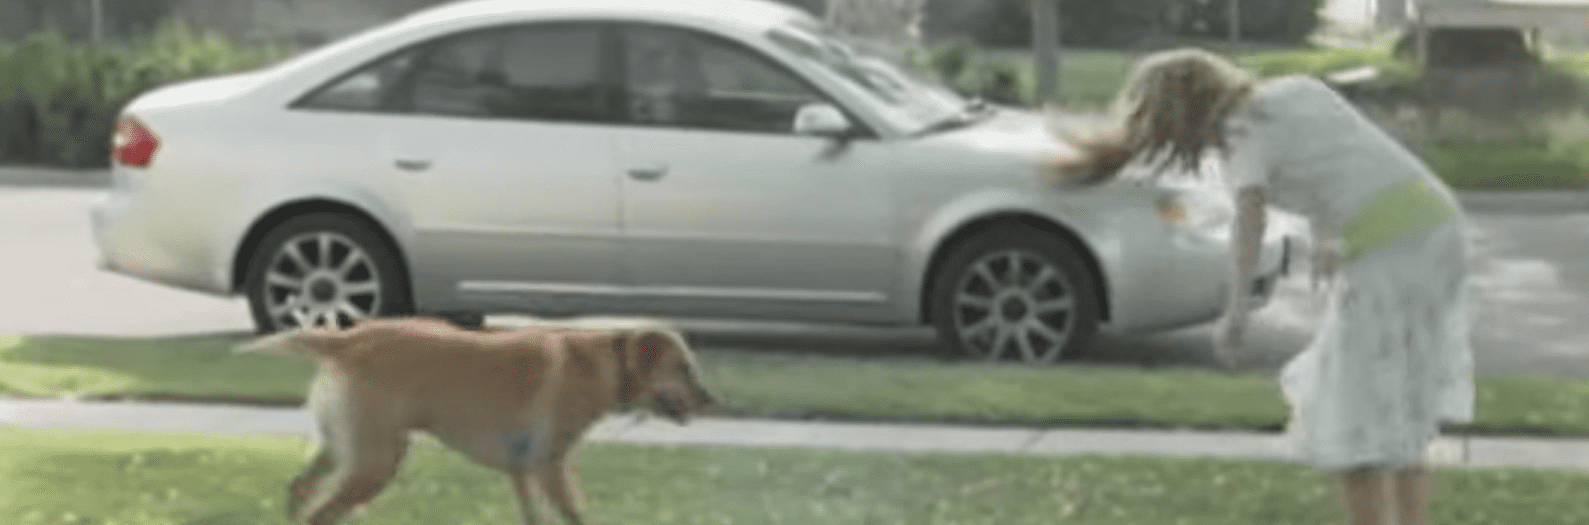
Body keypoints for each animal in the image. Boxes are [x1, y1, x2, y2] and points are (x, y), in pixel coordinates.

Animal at [233, 316, 715, 525]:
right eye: (684, 367)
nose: (714, 400)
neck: (608, 363)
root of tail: (347, 340)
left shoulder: (523, 469)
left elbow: (534, 516)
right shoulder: (550, 465)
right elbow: (576, 514)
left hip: (344, 447)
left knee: (300, 490)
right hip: (376, 459)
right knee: (322, 512)